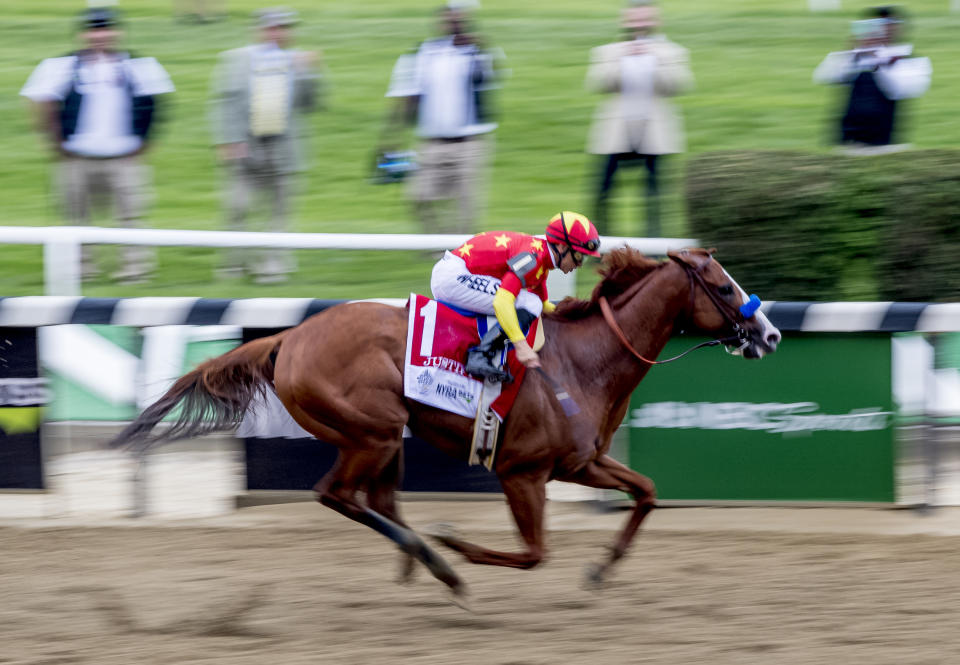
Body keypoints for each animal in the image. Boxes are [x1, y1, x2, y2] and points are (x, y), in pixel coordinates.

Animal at [112, 248, 780, 596]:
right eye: (724, 287)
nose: (770, 334)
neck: (583, 361)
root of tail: (288, 337)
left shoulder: (580, 462)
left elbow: (645, 491)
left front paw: (601, 567)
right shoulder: (521, 472)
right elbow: (534, 554)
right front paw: (458, 544)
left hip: (386, 439)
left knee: (376, 499)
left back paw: (419, 561)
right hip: (372, 429)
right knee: (338, 494)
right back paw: (435, 560)